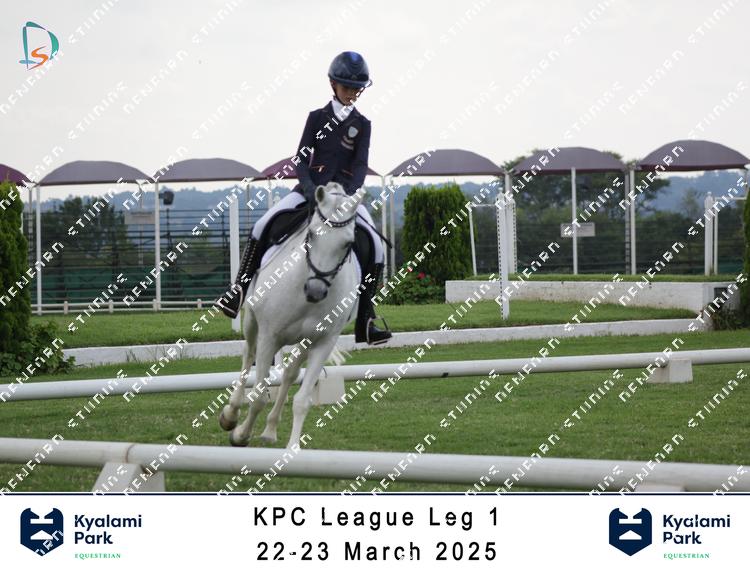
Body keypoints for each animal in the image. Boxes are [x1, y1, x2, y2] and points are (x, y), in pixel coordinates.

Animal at [218, 182, 365, 449]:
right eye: (312, 235)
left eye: (348, 243)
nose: (315, 291)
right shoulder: (269, 336)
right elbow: (258, 395)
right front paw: (240, 435)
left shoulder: (322, 343)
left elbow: (302, 399)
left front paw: (293, 447)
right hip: (252, 321)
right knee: (248, 354)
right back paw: (231, 415)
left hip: (303, 341)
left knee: (289, 374)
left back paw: (270, 430)